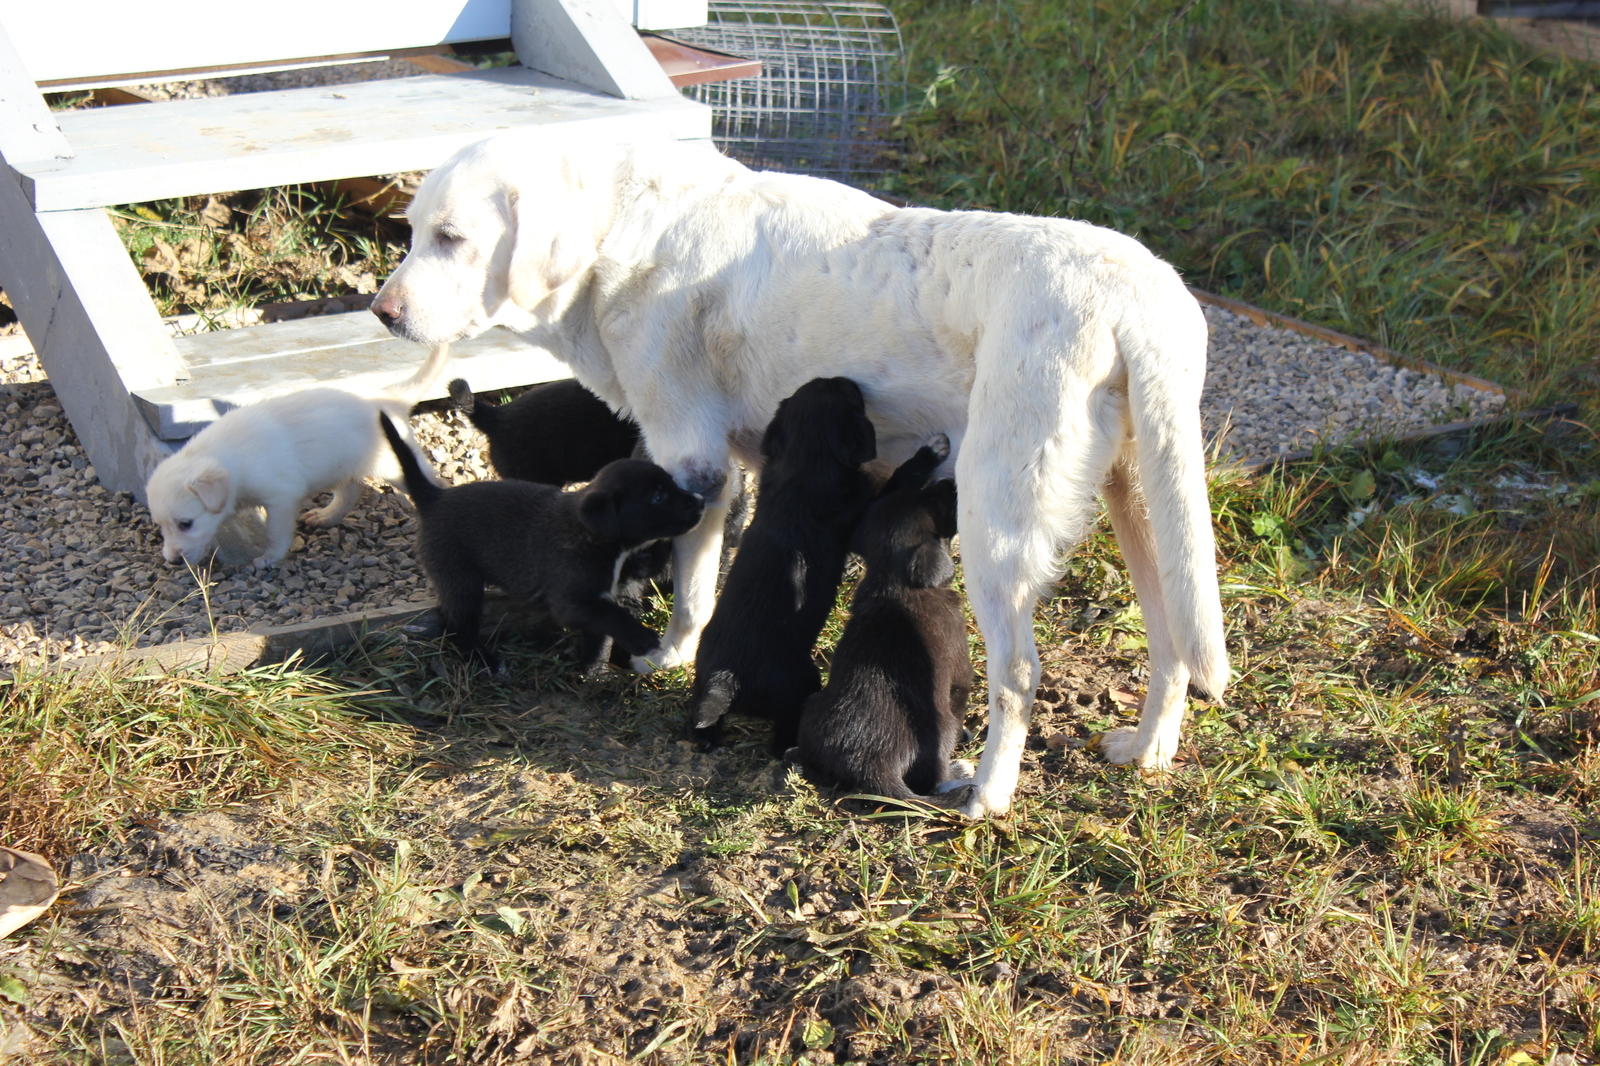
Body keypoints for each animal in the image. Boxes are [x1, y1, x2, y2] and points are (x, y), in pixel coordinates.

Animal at [145, 347, 451, 563]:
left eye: (186, 524)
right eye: (161, 526)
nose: (172, 561)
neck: (229, 460)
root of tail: (389, 397)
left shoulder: (281, 498)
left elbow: (275, 531)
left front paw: (270, 558)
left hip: (393, 464)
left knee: (432, 482)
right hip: (341, 465)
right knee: (350, 492)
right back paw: (326, 516)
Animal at [380, 408, 707, 672]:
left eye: (671, 485)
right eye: (658, 497)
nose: (701, 501)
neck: (595, 538)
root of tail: (435, 498)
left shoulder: (599, 598)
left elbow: (600, 636)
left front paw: (593, 673)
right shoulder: (571, 602)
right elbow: (613, 616)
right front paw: (641, 639)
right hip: (461, 579)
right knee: (459, 626)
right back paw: (484, 661)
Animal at [694, 377, 883, 752]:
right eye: (849, 396)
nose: (842, 377)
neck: (802, 464)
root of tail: (726, 680)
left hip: (702, 672)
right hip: (800, 681)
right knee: (783, 728)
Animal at [790, 435, 972, 797]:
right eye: (939, 503)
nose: (951, 482)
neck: (893, 583)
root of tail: (871, 764)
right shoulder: (961, 671)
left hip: (814, 704)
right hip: (939, 732)